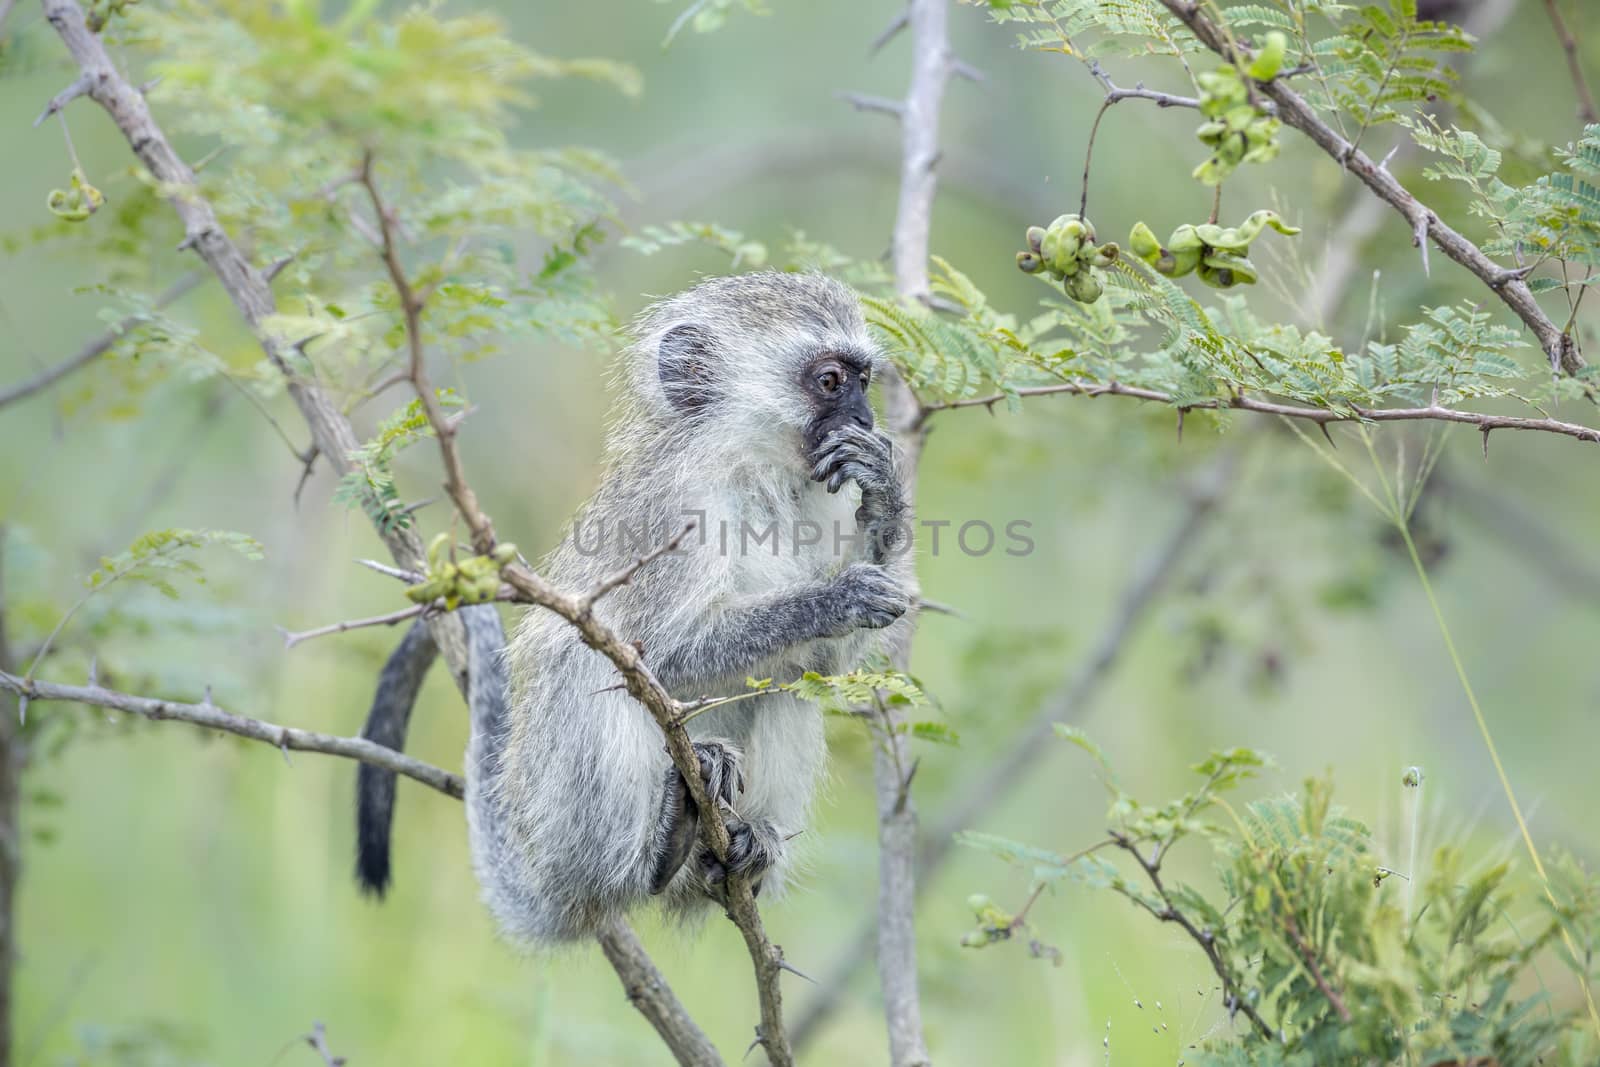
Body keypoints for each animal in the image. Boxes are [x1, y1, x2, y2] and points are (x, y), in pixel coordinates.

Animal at [361, 273, 915, 940]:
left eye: (863, 379)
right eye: (830, 380)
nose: (865, 417)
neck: (754, 473)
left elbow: (827, 667)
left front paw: (883, 494)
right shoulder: (672, 515)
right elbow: (658, 657)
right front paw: (836, 598)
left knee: (788, 679)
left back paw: (741, 852)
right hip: (561, 821)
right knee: (587, 663)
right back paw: (659, 847)